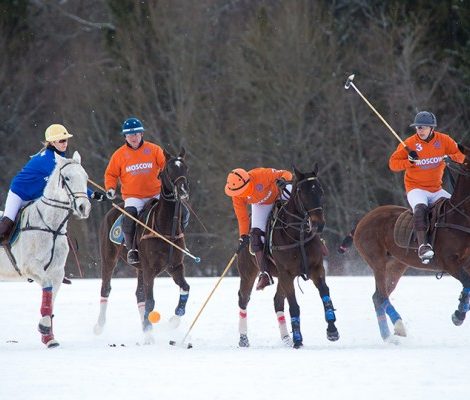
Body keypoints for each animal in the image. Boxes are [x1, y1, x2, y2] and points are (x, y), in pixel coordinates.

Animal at [0, 150, 91, 346]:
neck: (51, 226)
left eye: (86, 177)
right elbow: (48, 288)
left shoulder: (57, 272)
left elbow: (51, 298)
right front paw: (44, 328)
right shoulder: (31, 267)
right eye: (67, 178)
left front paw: (49, 337)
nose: (84, 207)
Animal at [93, 148, 191, 342]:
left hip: (139, 268)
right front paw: (149, 328)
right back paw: (99, 326)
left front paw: (174, 320)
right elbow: (151, 301)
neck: (165, 227)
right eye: (169, 169)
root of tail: (112, 209)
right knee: (106, 288)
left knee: (139, 295)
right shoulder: (150, 269)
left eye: (185, 167)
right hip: (109, 258)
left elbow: (185, 288)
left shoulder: (175, 266)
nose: (183, 191)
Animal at [237, 165, 340, 346]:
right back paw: (243, 339)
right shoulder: (287, 273)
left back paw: (286, 338)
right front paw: (298, 339)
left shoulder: (316, 268)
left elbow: (325, 294)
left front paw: (332, 330)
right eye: (302, 193)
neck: (297, 234)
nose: (318, 224)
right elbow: (294, 305)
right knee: (244, 299)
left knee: (277, 301)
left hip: (280, 276)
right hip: (249, 273)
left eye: (321, 191)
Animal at [340, 145, 470, 342]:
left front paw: (459, 312)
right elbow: (468, 283)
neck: (460, 216)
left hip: (396, 264)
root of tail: (362, 220)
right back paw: (397, 329)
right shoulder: (450, 263)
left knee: (378, 296)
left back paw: (388, 335)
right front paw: (458, 316)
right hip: (376, 260)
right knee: (380, 296)